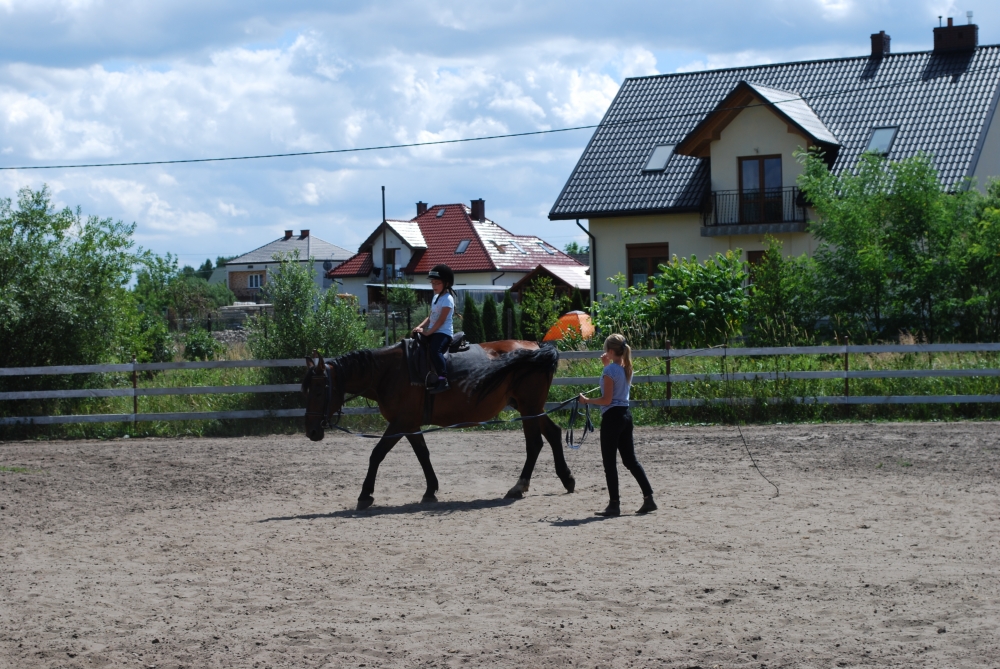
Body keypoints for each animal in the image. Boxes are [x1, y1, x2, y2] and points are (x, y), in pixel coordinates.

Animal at [301, 340, 575, 510]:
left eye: (319, 391)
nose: (311, 431)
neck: (389, 372)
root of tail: (536, 347)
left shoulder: (400, 422)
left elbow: (377, 454)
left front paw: (365, 494)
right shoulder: (410, 424)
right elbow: (423, 454)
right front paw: (431, 490)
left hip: (529, 408)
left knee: (535, 443)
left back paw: (519, 486)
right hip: (530, 407)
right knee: (552, 433)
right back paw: (566, 478)